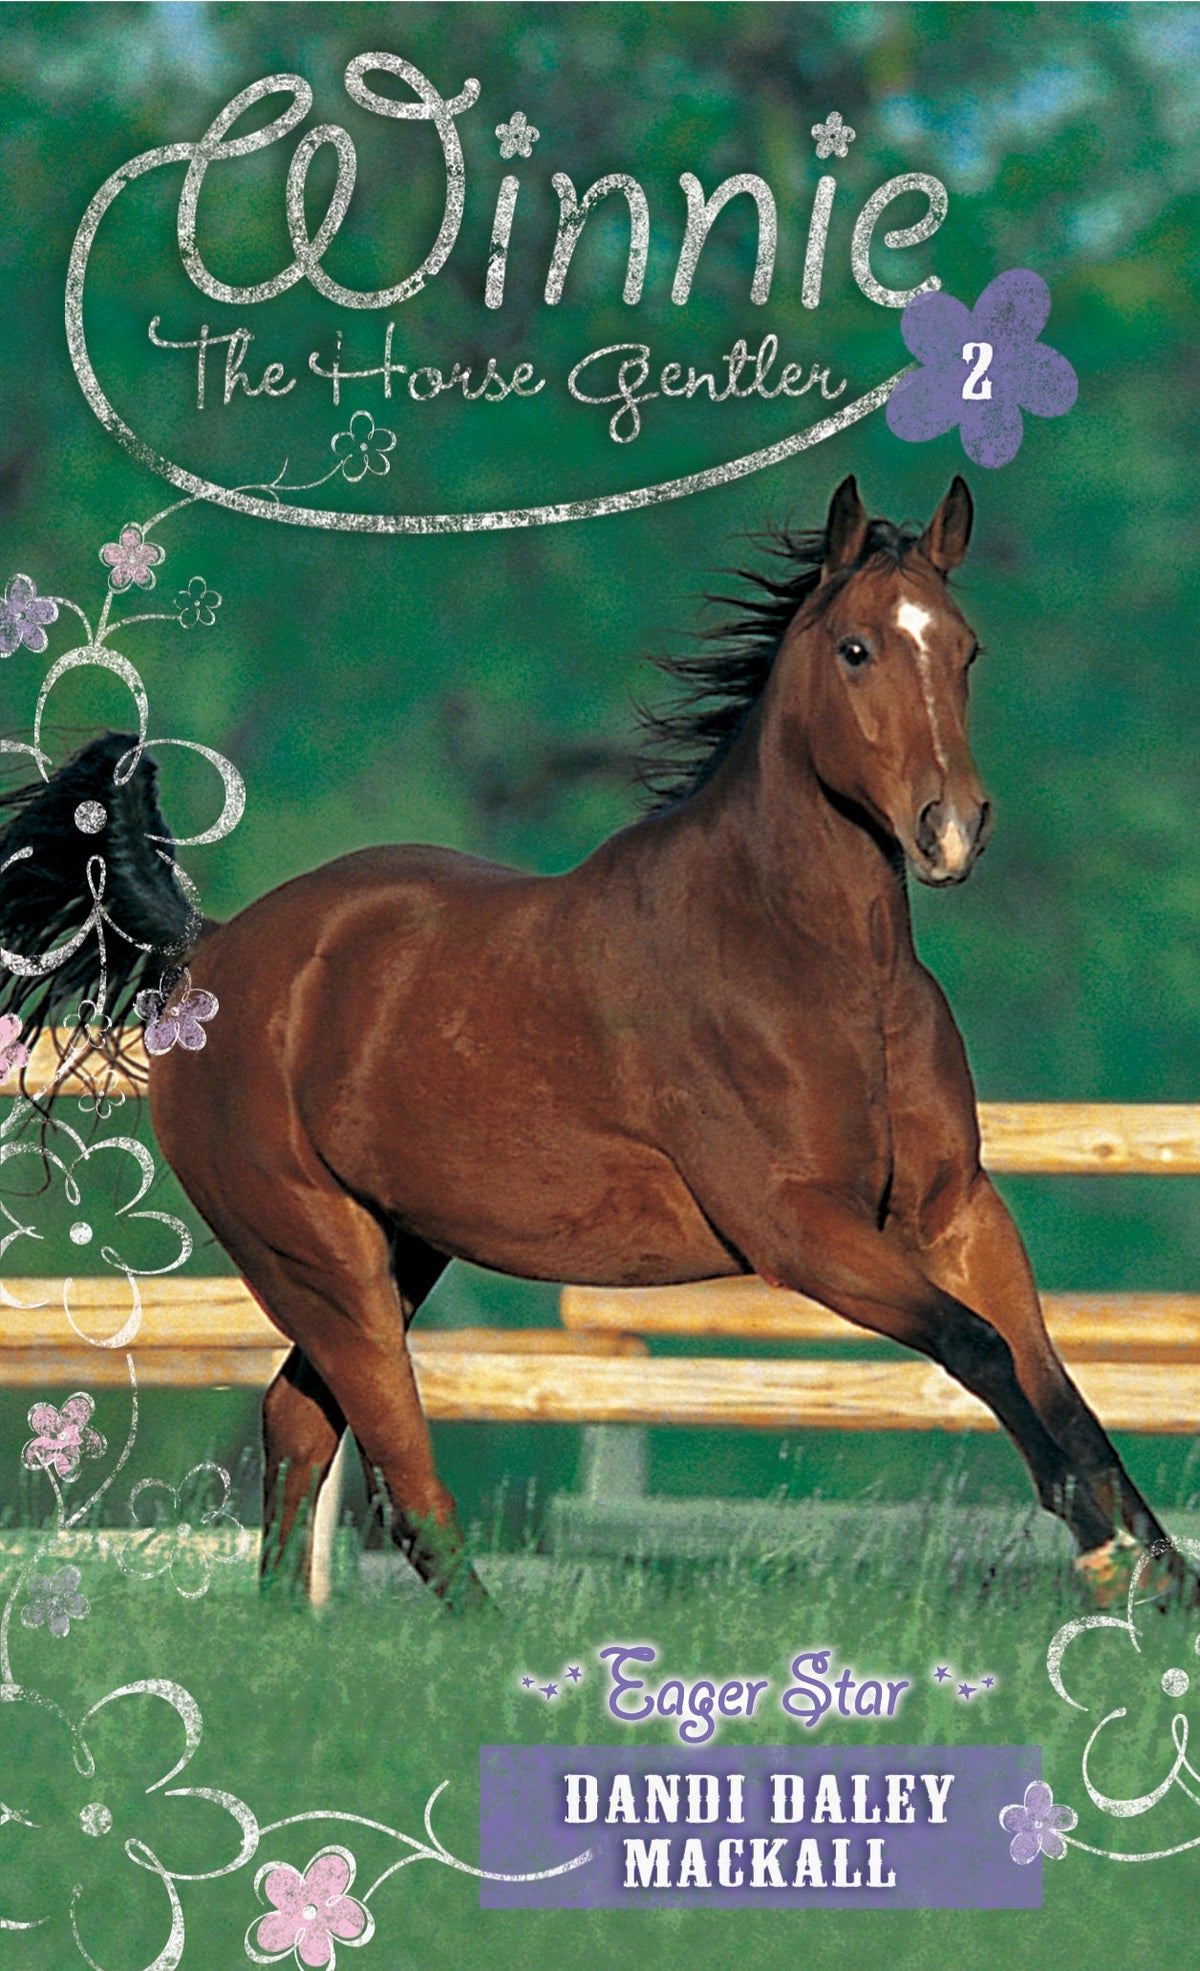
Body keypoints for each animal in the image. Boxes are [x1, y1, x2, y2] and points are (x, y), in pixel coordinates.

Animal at [0, 476, 1180, 1605]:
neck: (819, 965)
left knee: (299, 1423)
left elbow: (1054, 1381)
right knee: (400, 1464)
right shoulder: (799, 1229)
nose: (951, 832)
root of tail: (210, 952)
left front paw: (1162, 1576)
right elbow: (978, 1348)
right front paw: (1106, 1557)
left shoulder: (956, 1211)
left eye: (966, 647)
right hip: (317, 1257)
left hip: (397, 1245)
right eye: (857, 648)